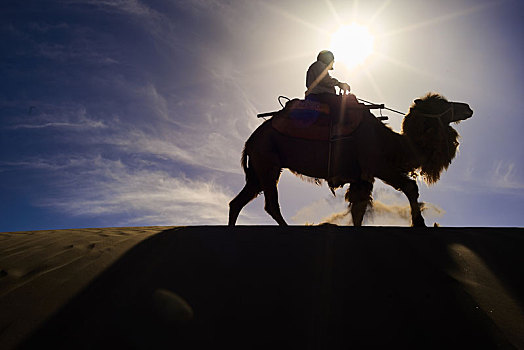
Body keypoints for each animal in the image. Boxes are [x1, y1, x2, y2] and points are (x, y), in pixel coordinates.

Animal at [227, 91, 472, 227]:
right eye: (441, 104)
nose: (468, 107)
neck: (390, 142)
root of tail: (250, 141)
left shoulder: (361, 176)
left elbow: (358, 209)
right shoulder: (378, 165)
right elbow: (410, 187)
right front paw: (420, 223)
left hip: (259, 168)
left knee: (237, 201)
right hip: (267, 161)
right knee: (270, 203)